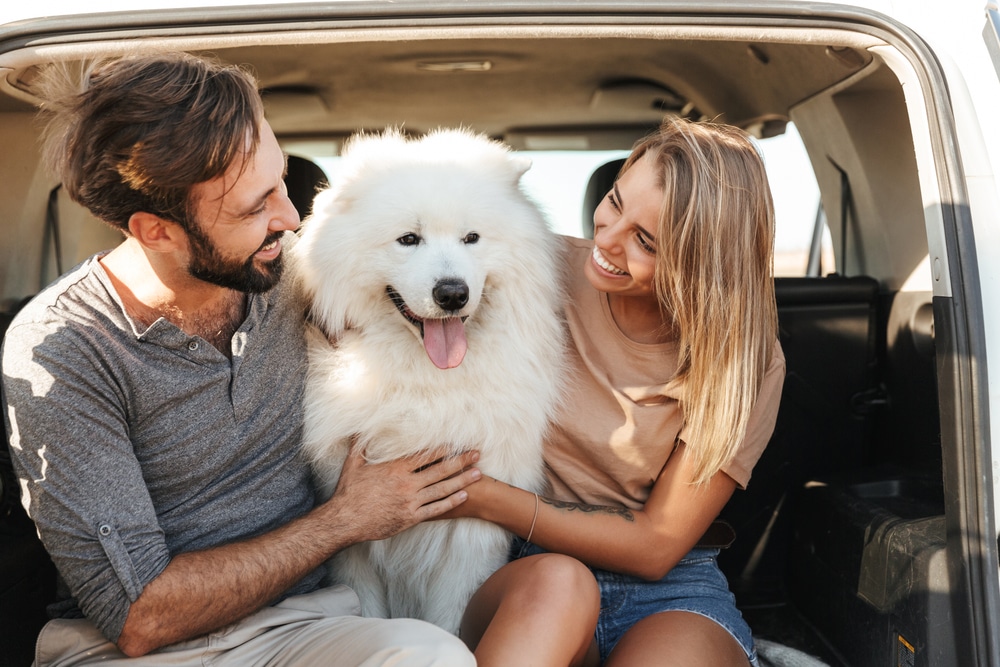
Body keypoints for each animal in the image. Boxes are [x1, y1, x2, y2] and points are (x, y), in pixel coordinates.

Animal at [292, 128, 568, 636]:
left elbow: (451, 622)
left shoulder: (472, 533)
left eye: (472, 238)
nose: (453, 293)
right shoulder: (351, 541)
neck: (424, 381)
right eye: (408, 239)